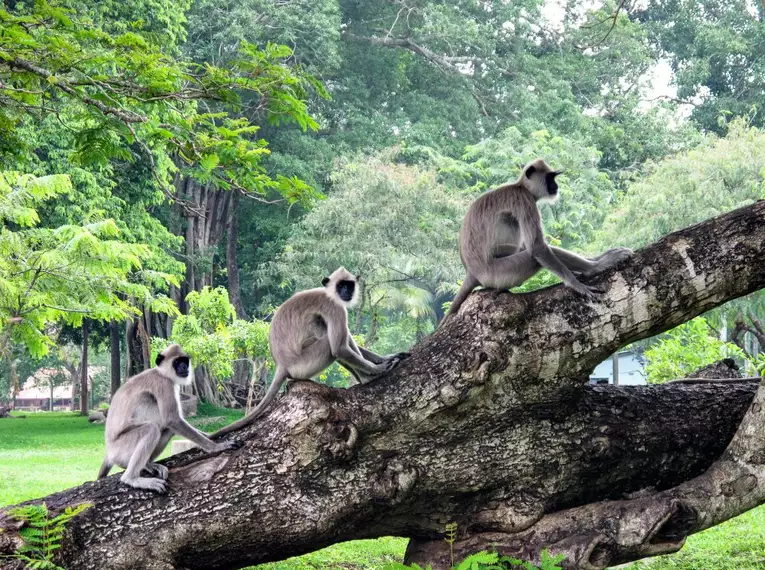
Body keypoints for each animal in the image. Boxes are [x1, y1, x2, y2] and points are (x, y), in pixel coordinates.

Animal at [98, 342, 236, 492]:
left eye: (184, 361)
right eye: (176, 362)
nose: (184, 367)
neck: (160, 372)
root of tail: (109, 451)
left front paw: (210, 435)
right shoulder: (164, 383)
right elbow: (172, 419)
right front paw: (216, 446)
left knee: (167, 429)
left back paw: (147, 464)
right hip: (121, 448)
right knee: (152, 428)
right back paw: (132, 478)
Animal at [212, 268, 408, 434]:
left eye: (349, 285)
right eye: (341, 286)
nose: (346, 292)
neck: (328, 293)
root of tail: (282, 364)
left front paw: (386, 358)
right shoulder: (334, 307)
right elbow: (339, 348)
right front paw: (378, 369)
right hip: (304, 364)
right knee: (330, 343)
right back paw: (368, 379)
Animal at [442, 159, 632, 320]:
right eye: (549, 178)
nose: (556, 186)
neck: (520, 186)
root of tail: (472, 271)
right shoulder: (524, 199)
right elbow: (536, 247)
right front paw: (581, 281)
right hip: (500, 272)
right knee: (533, 255)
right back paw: (596, 267)